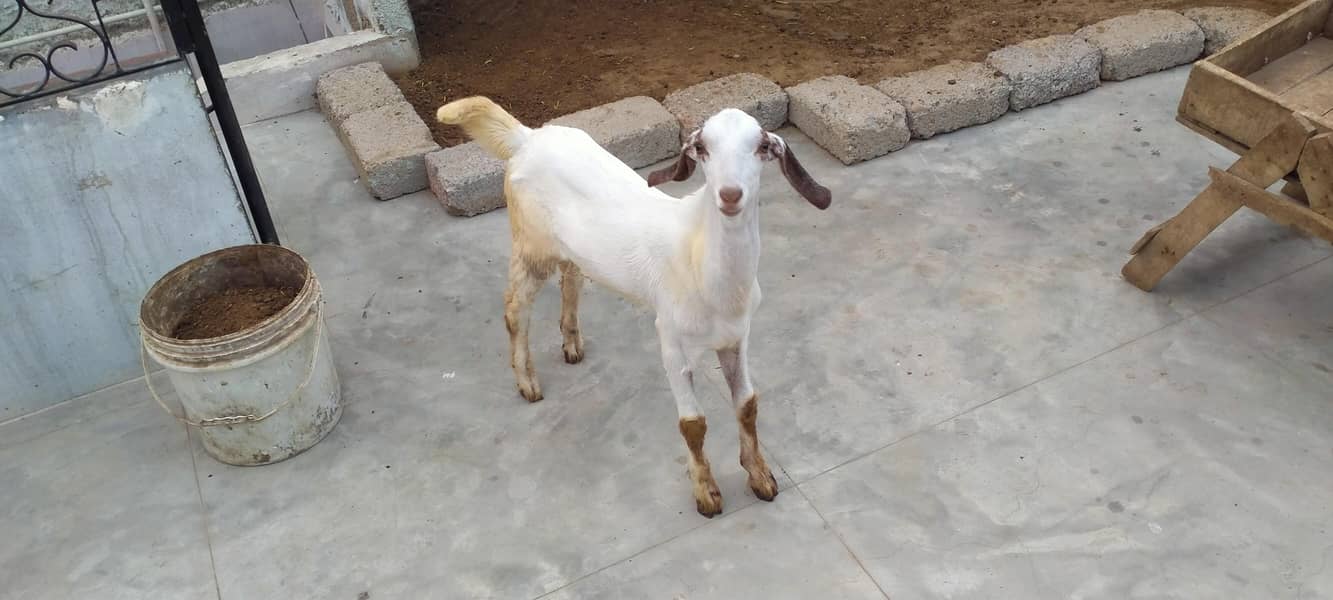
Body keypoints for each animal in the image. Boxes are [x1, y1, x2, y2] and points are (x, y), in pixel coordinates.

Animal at [436, 96, 831, 517]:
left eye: (760, 147)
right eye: (703, 148)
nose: (729, 195)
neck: (697, 256)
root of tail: (526, 138)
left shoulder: (736, 338)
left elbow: (747, 405)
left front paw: (761, 477)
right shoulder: (671, 341)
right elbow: (693, 424)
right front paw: (706, 495)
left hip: (570, 249)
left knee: (571, 277)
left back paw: (571, 344)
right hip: (531, 244)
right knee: (515, 307)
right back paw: (527, 383)